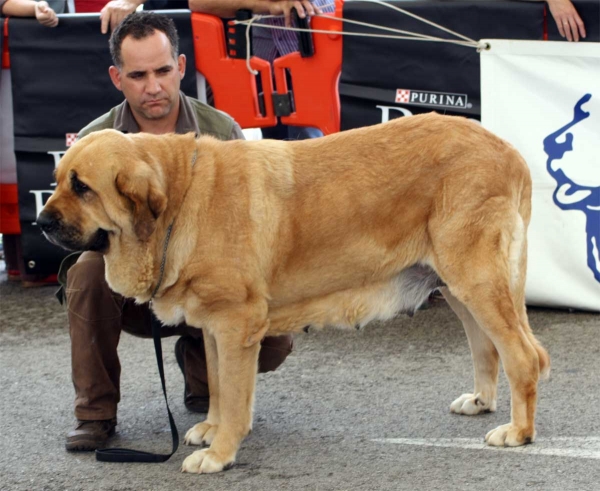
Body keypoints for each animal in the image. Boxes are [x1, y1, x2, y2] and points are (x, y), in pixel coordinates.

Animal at [39, 113, 552, 474]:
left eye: (82, 187)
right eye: (58, 180)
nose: (41, 222)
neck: (182, 201)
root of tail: (509, 151)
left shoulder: (236, 325)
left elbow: (235, 395)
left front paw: (221, 452)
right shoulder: (213, 328)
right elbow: (219, 387)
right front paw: (210, 428)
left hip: (476, 279)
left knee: (524, 356)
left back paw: (519, 431)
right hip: (457, 286)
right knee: (487, 347)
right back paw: (481, 401)